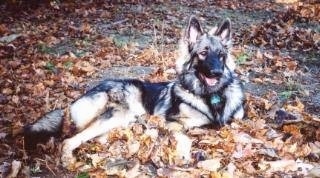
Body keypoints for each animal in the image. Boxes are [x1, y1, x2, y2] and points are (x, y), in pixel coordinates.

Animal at [21, 16, 244, 168]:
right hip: (119, 113)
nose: (217, 72)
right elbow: (186, 137)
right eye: (203, 53)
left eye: (221, 55)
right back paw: (68, 159)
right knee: (69, 140)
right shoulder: (172, 122)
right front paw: (183, 154)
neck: (210, 95)